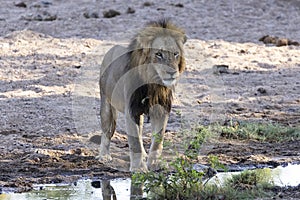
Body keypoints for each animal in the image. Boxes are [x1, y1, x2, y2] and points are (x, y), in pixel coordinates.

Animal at [99, 19, 186, 172]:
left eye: (175, 54)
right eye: (159, 54)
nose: (172, 72)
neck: (153, 84)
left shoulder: (161, 110)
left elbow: (158, 139)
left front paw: (155, 163)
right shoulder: (131, 109)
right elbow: (134, 142)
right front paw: (139, 168)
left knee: (139, 131)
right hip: (106, 104)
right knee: (106, 131)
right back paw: (104, 156)